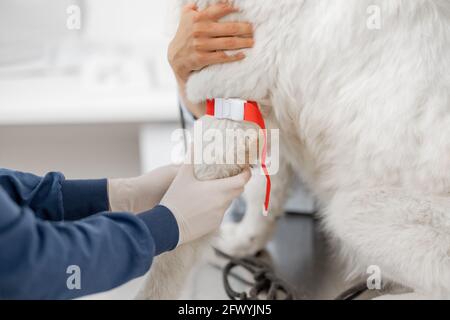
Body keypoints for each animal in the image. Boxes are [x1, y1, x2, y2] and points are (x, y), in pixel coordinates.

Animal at [136, 0, 450, 300]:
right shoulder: (263, 117)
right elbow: (261, 195)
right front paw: (242, 242)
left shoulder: (231, 107)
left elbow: (177, 240)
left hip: (350, 210)